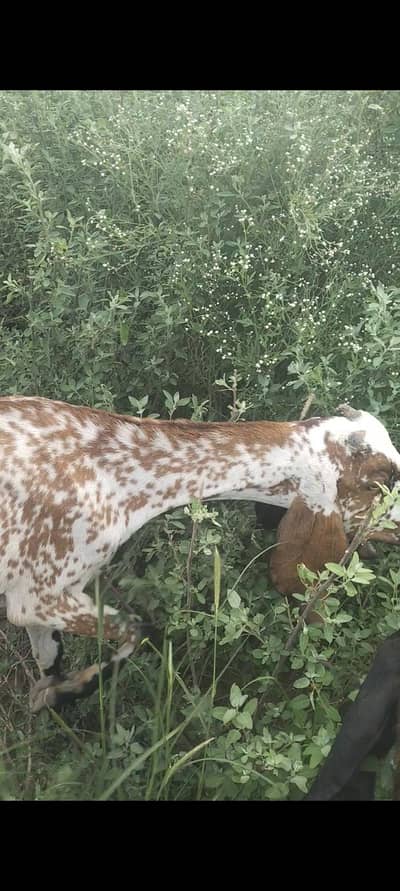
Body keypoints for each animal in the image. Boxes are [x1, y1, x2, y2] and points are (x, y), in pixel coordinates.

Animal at [1, 395, 400, 711]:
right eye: (379, 482)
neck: (114, 469)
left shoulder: (36, 595)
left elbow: (49, 657)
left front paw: (51, 695)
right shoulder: (40, 595)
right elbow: (142, 630)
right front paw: (68, 692)